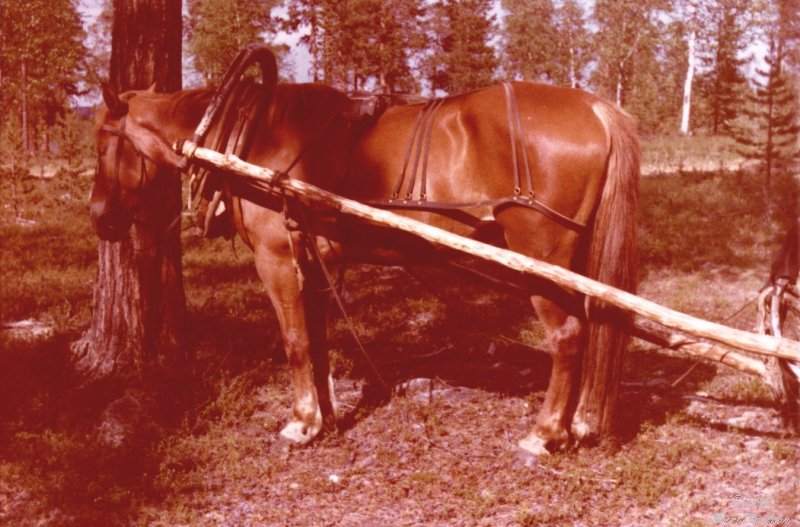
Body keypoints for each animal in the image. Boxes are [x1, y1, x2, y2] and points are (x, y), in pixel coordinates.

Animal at [89, 54, 636, 458]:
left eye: (100, 146)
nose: (99, 219)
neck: (248, 134)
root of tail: (596, 109)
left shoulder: (277, 259)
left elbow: (294, 341)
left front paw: (301, 424)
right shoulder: (313, 260)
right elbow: (317, 339)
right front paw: (325, 417)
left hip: (542, 260)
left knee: (568, 337)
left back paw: (544, 435)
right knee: (593, 325)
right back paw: (577, 424)